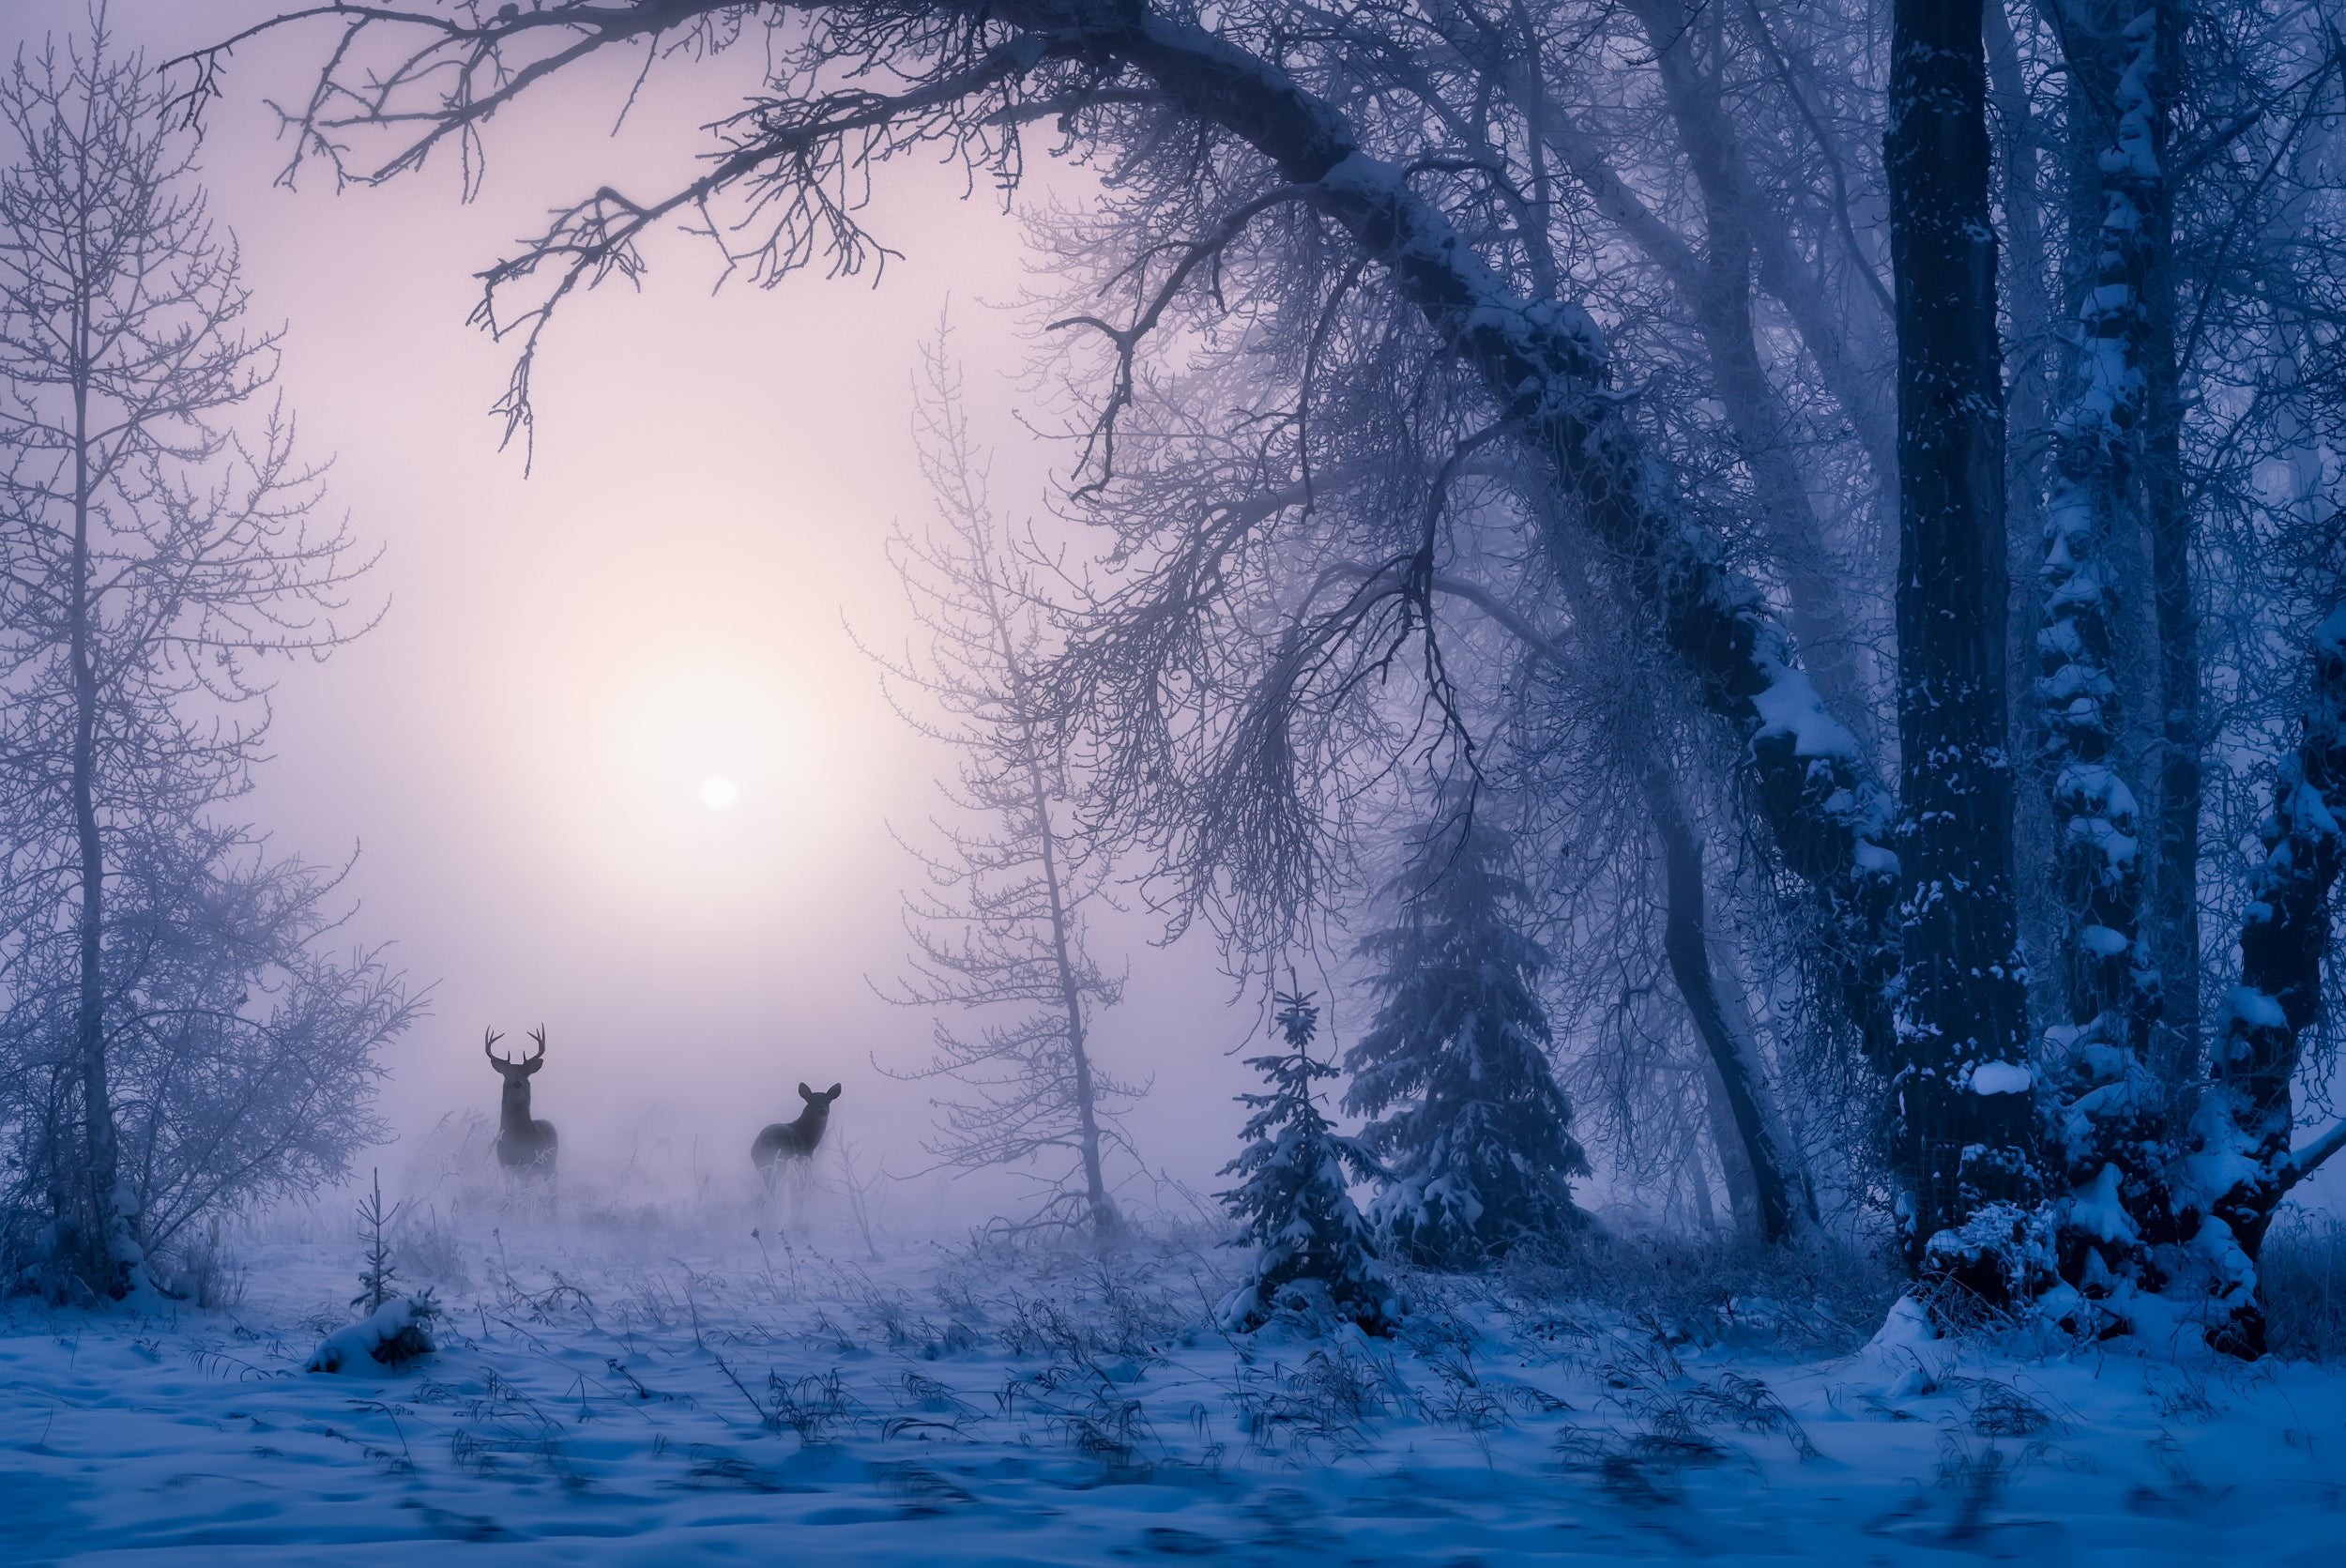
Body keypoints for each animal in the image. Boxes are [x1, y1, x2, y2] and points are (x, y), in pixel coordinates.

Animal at [484, 1027, 558, 1176]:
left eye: (525, 1074)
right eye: (507, 1074)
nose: (517, 1083)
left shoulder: (530, 1164)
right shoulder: (505, 1164)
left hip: (550, 1164)